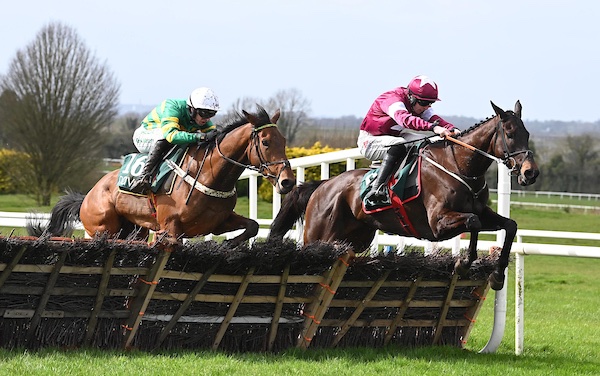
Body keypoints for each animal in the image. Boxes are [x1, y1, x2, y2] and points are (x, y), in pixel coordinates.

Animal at [32, 106, 296, 245]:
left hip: (135, 230)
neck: (209, 176)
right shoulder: (171, 229)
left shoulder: (217, 222)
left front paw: (231, 244)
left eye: (283, 140)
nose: (287, 181)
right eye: (265, 142)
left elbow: (252, 226)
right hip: (103, 228)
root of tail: (88, 195)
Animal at [270, 101, 540, 290]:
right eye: (509, 133)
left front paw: (497, 275)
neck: (458, 166)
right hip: (319, 236)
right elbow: (472, 222)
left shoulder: (482, 212)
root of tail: (323, 186)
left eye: (527, 133)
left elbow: (510, 225)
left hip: (355, 239)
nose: (531, 172)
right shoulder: (438, 223)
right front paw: (464, 264)